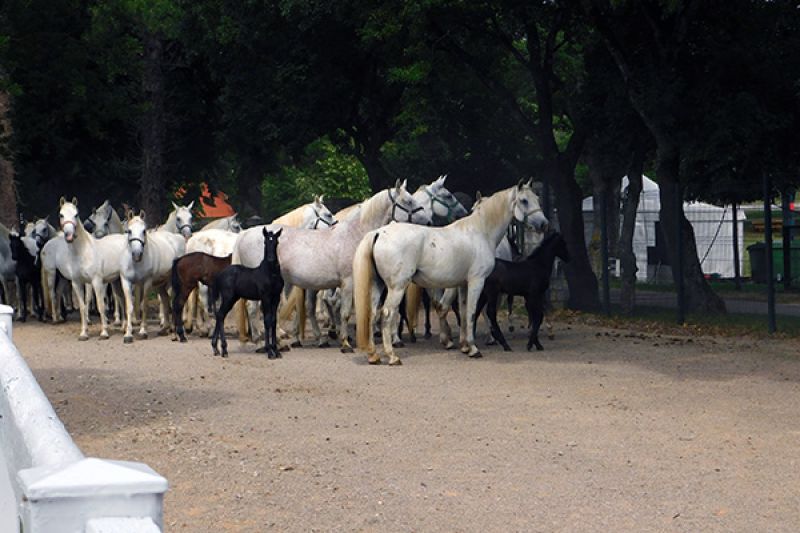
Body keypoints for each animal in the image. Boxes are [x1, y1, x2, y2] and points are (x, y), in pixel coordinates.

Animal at [119, 211, 186, 340]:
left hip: (172, 281)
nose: (137, 254)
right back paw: (165, 329)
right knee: (165, 299)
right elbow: (129, 307)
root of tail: (178, 237)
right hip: (160, 284)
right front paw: (128, 334)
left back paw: (174, 332)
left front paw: (143, 331)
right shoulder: (126, 282)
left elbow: (144, 306)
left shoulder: (147, 282)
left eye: (144, 231)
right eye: (129, 231)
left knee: (174, 301)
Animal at [212, 228, 284, 358]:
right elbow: (267, 320)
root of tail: (220, 275)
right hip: (228, 297)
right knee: (220, 315)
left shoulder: (276, 297)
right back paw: (224, 350)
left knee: (220, 315)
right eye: (265, 242)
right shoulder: (265, 297)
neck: (271, 273)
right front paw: (269, 351)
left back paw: (216, 348)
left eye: (276, 242)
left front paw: (276, 351)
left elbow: (274, 320)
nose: (271, 259)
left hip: (233, 298)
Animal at [233, 181, 432, 352]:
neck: (353, 234)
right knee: (253, 309)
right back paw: (261, 343)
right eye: (408, 201)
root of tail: (245, 235)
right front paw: (345, 343)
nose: (429, 222)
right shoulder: (348, 282)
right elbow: (345, 312)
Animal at [354, 181, 548, 364]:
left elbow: (463, 311)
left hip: (378, 286)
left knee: (372, 313)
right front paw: (473, 349)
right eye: (524, 200)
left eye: (537, 199)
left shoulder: (462, 284)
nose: (543, 224)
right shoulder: (476, 281)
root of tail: (379, 232)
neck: (480, 231)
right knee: (387, 314)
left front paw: (464, 346)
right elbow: (471, 312)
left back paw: (373, 355)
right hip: (397, 287)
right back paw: (392, 356)